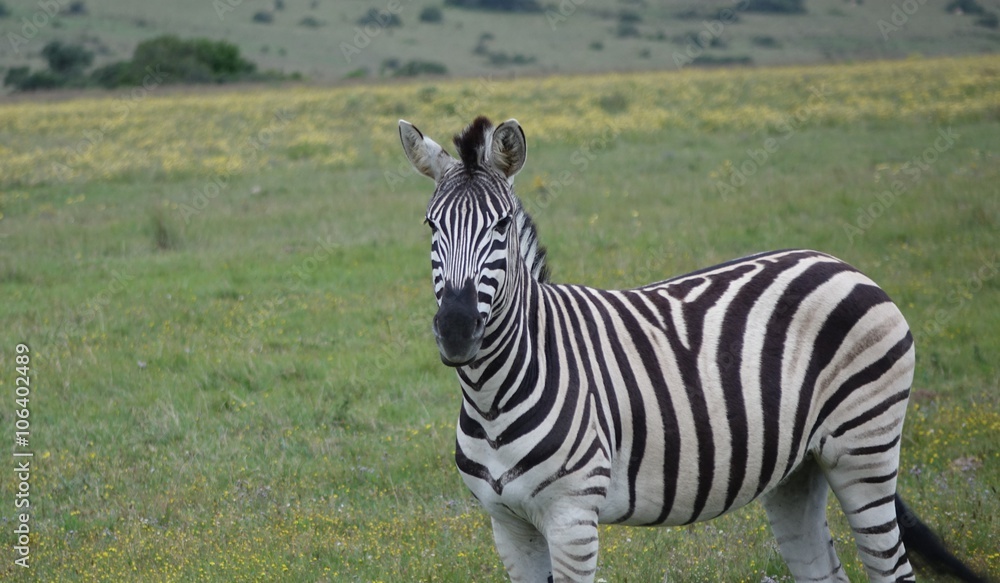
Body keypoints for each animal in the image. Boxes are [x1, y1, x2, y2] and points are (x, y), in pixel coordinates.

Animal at [398, 116, 988, 583]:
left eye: (500, 225)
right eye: (430, 225)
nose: (456, 329)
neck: (492, 394)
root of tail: (841, 264)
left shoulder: (572, 518)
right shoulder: (506, 524)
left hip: (865, 448)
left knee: (894, 569)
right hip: (800, 469)